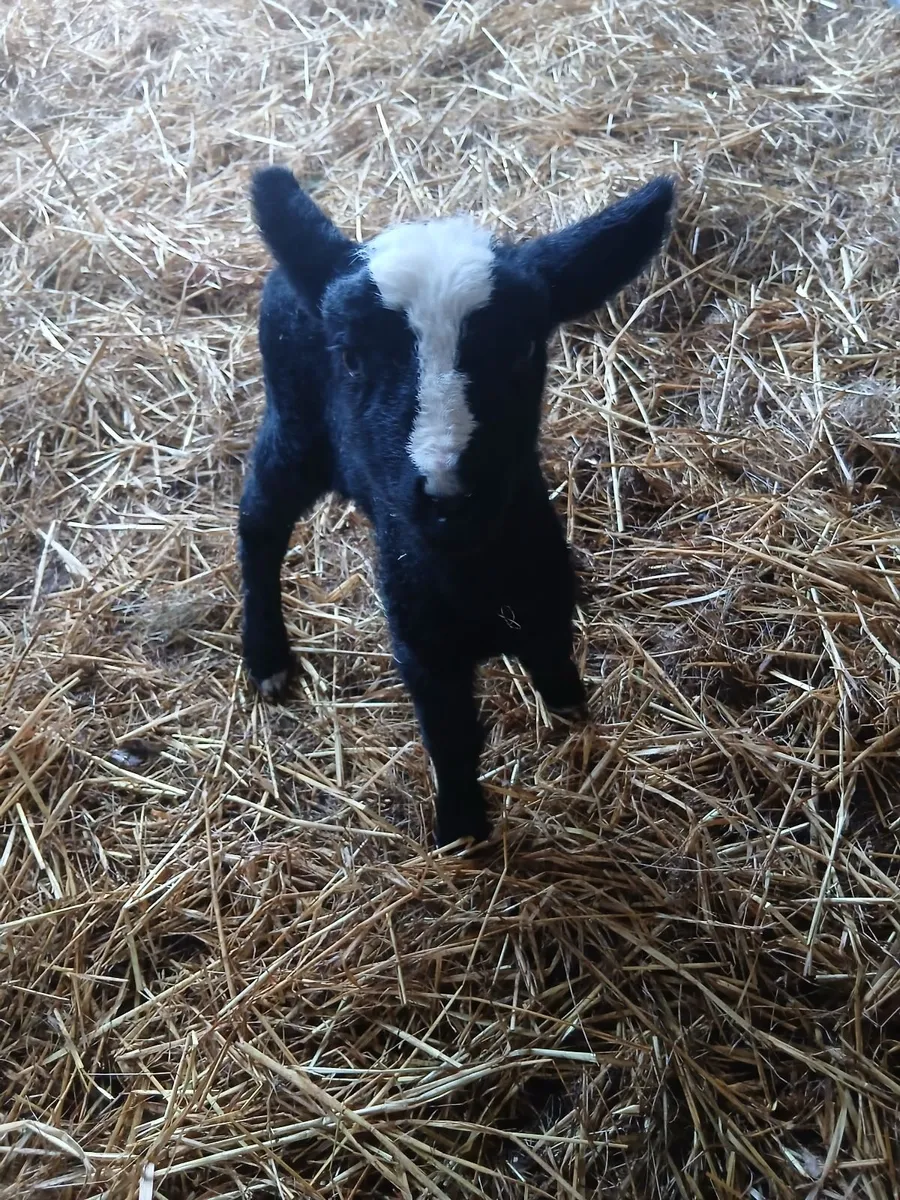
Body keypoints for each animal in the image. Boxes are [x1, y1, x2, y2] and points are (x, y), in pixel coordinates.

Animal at [239, 166, 674, 847]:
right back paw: (266, 657)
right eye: (352, 357)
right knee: (259, 520)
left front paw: (568, 705)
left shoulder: (545, 581)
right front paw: (463, 829)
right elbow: (450, 735)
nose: (448, 495)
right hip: (296, 426)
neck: (474, 574)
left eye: (523, 349)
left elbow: (553, 647)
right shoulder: (421, 641)